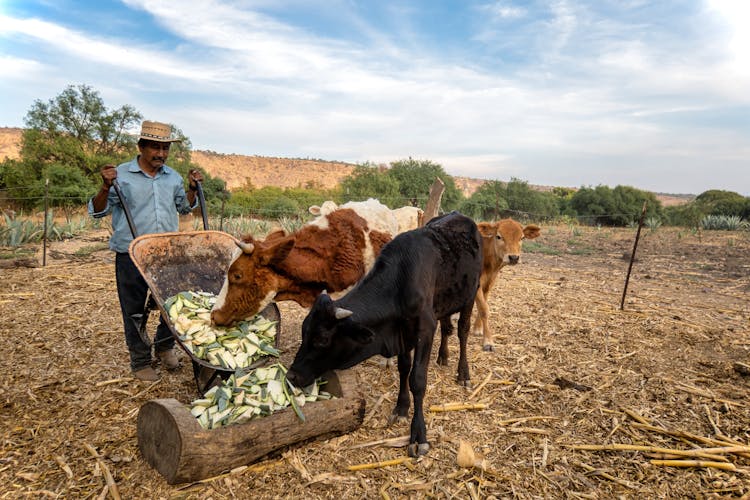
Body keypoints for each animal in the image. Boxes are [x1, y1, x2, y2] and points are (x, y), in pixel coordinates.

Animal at [476, 219, 540, 352]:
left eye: (522, 237)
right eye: (498, 236)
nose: (514, 257)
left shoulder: (489, 283)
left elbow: (483, 305)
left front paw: (478, 328)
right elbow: (484, 309)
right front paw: (488, 341)